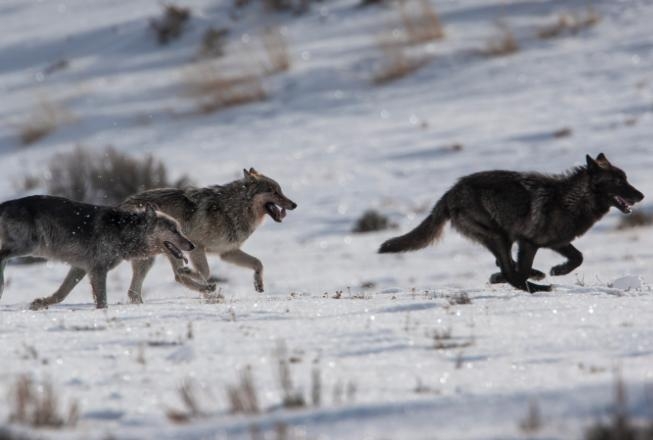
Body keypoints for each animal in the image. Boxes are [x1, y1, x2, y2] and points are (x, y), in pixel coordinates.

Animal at [0, 195, 194, 309]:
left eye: (180, 229)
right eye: (174, 230)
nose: (192, 245)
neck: (124, 231)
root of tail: (4, 204)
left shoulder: (81, 268)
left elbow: (61, 294)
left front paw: (40, 303)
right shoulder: (98, 270)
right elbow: (103, 301)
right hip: (29, 246)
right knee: (2, 256)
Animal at [52, 168, 297, 304]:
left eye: (281, 190)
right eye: (273, 191)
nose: (294, 204)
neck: (231, 207)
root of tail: (120, 205)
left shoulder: (227, 252)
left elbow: (258, 263)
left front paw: (259, 285)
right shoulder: (198, 246)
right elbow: (205, 272)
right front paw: (199, 280)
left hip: (155, 256)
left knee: (134, 291)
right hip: (166, 251)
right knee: (174, 277)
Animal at [379, 153, 644, 293]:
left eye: (626, 178)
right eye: (618, 181)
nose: (641, 195)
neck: (570, 199)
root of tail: (451, 192)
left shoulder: (557, 242)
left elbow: (578, 258)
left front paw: (558, 270)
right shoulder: (528, 242)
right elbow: (521, 271)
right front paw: (540, 278)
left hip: (501, 239)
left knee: (506, 266)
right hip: (499, 237)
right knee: (511, 272)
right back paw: (534, 285)